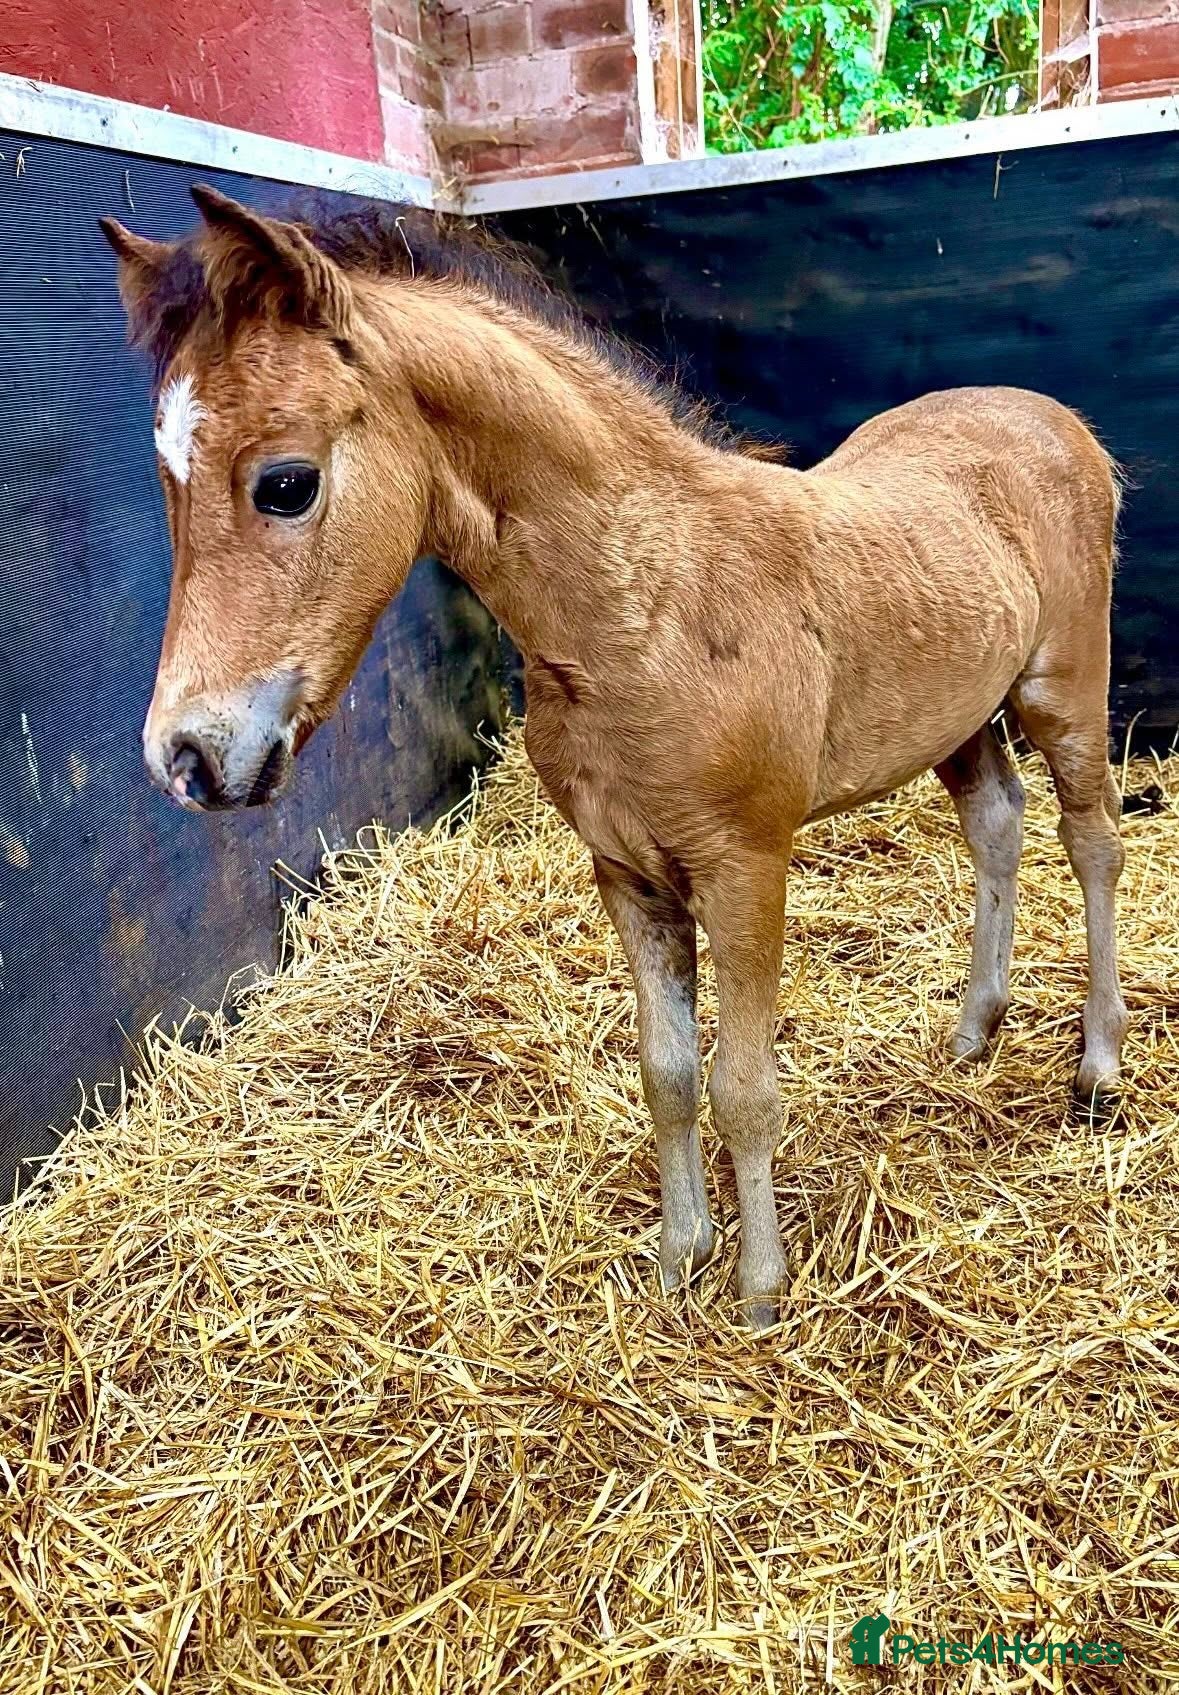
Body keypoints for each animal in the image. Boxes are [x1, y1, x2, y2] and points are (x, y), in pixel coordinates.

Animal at [100, 188, 1129, 1330]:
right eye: (166, 483)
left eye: (286, 484)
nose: (187, 757)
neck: (644, 604)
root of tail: (1054, 417)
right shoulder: (627, 872)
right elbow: (666, 1072)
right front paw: (682, 1257)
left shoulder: (745, 866)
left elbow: (742, 1088)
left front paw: (759, 1292)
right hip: (955, 713)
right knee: (996, 821)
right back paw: (974, 1031)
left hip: (1062, 688)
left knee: (1092, 841)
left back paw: (1097, 1064)